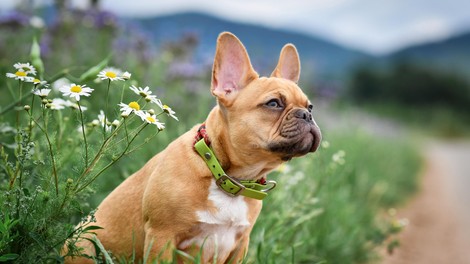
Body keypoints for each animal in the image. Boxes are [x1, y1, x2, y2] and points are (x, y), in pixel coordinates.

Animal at [66, 32, 322, 262]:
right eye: (273, 103)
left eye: (310, 106)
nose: (306, 114)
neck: (226, 174)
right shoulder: (162, 237)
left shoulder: (240, 245)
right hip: (85, 244)